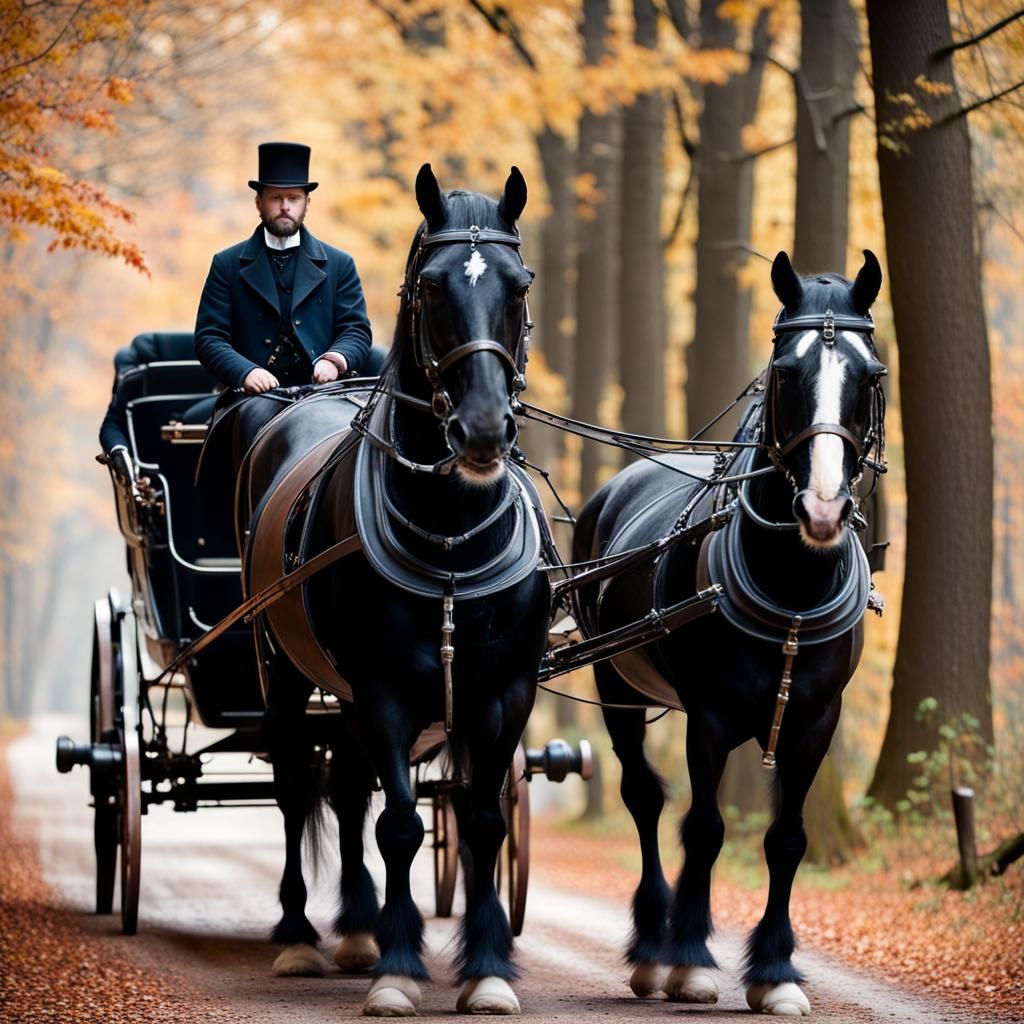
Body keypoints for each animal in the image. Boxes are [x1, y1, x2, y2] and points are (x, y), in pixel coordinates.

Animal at [229, 164, 551, 1016]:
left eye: (519, 285)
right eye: (430, 288)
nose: (482, 430)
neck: (451, 543)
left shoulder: (501, 692)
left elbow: (479, 820)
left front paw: (486, 968)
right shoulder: (382, 690)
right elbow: (401, 825)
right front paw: (400, 971)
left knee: (345, 790)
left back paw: (355, 930)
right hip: (285, 679)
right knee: (295, 788)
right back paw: (302, 936)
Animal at [571, 251, 886, 1016]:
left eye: (869, 375)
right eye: (785, 371)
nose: (823, 507)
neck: (792, 587)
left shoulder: (815, 720)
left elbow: (787, 838)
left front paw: (775, 972)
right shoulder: (709, 717)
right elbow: (705, 827)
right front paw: (689, 961)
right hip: (615, 680)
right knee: (645, 799)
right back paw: (651, 947)